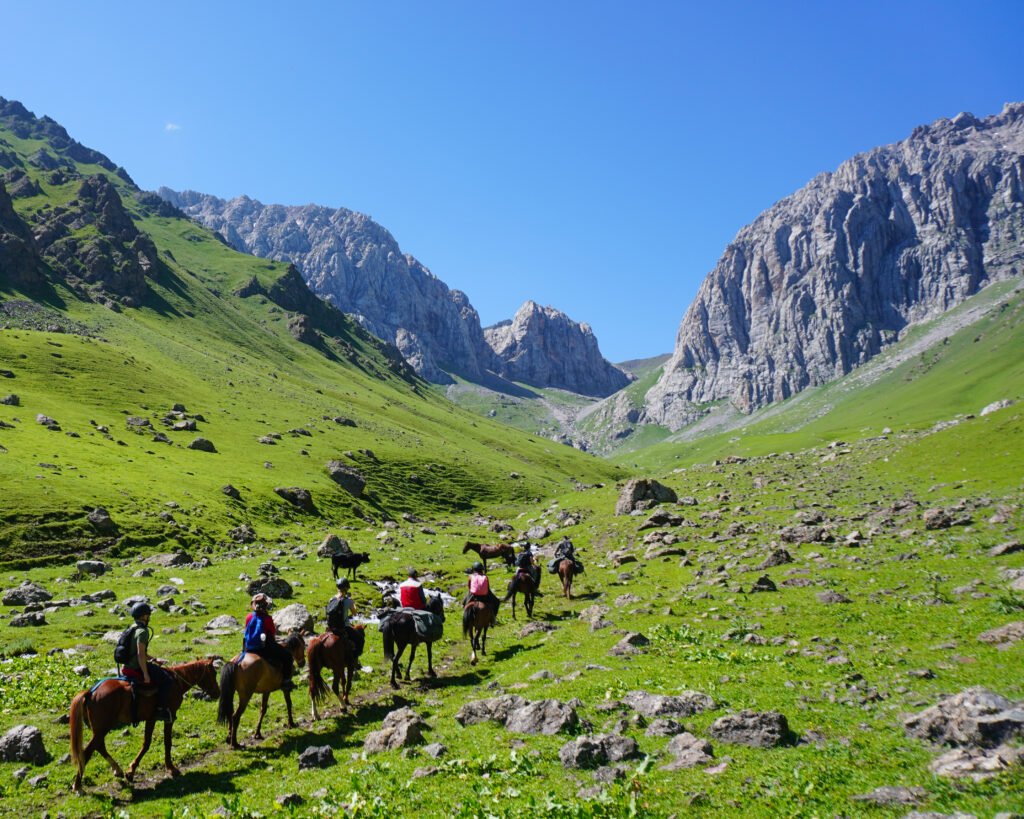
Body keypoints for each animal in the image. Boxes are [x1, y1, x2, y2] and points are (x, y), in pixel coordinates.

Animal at [69, 657, 221, 793]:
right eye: (213, 673)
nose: (217, 693)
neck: (176, 681)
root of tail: (90, 692)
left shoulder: (151, 719)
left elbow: (146, 743)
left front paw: (130, 772)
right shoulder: (169, 717)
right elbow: (166, 742)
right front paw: (171, 768)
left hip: (100, 729)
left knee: (99, 747)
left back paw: (117, 770)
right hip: (102, 728)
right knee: (87, 751)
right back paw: (78, 786)